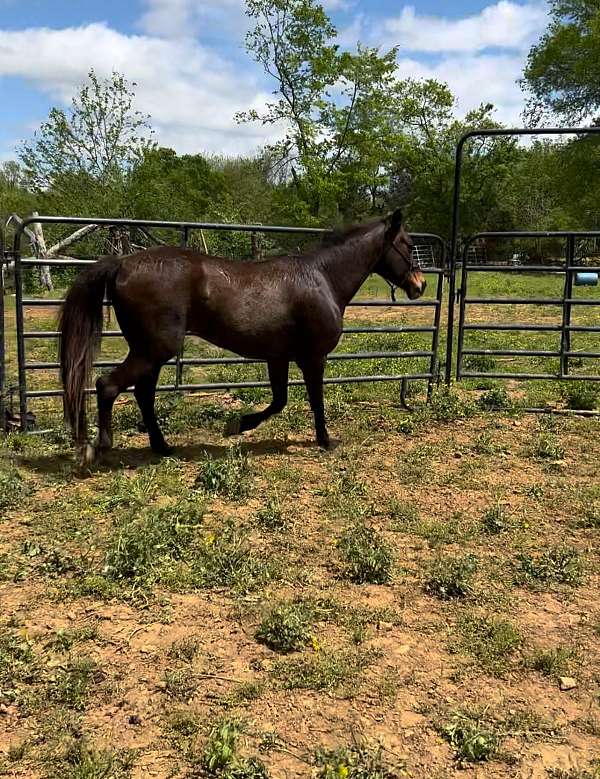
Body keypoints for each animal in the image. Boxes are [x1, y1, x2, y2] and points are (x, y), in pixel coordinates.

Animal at [58, 208, 426, 464]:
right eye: (408, 245)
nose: (420, 286)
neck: (322, 279)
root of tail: (121, 262)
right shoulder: (313, 358)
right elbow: (314, 400)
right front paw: (325, 440)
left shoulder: (278, 357)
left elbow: (279, 401)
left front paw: (237, 424)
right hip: (153, 350)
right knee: (108, 386)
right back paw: (98, 448)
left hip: (151, 352)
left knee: (143, 394)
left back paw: (162, 447)